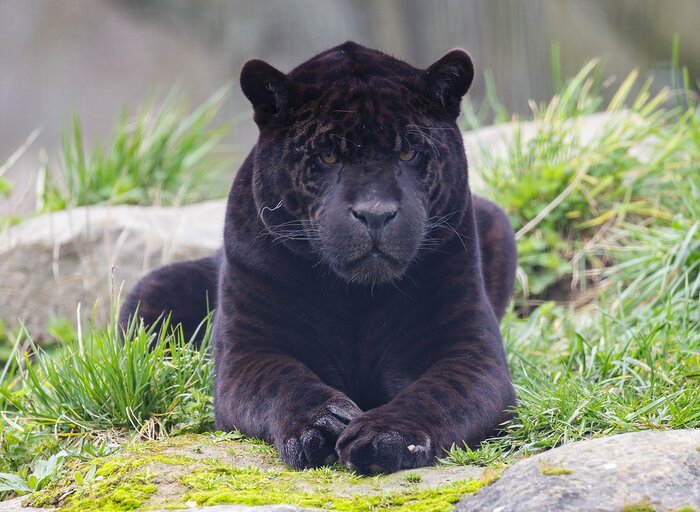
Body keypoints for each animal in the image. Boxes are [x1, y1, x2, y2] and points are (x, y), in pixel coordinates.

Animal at [120, 41, 517, 475]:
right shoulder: (250, 351)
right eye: (327, 158)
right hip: (150, 291)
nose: (374, 213)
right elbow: (283, 383)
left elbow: (435, 396)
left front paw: (384, 436)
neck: (359, 299)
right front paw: (321, 426)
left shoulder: (469, 351)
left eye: (408, 153)